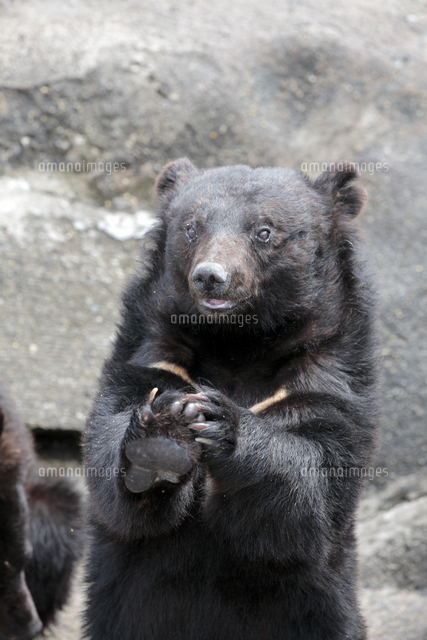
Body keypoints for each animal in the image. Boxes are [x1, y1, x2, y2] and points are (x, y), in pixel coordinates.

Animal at [82, 159, 378, 640]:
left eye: (264, 231)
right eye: (191, 228)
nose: (210, 276)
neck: (237, 343)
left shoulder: (327, 374)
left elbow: (312, 480)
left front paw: (223, 422)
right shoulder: (150, 354)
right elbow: (111, 461)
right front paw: (163, 437)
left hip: (325, 612)